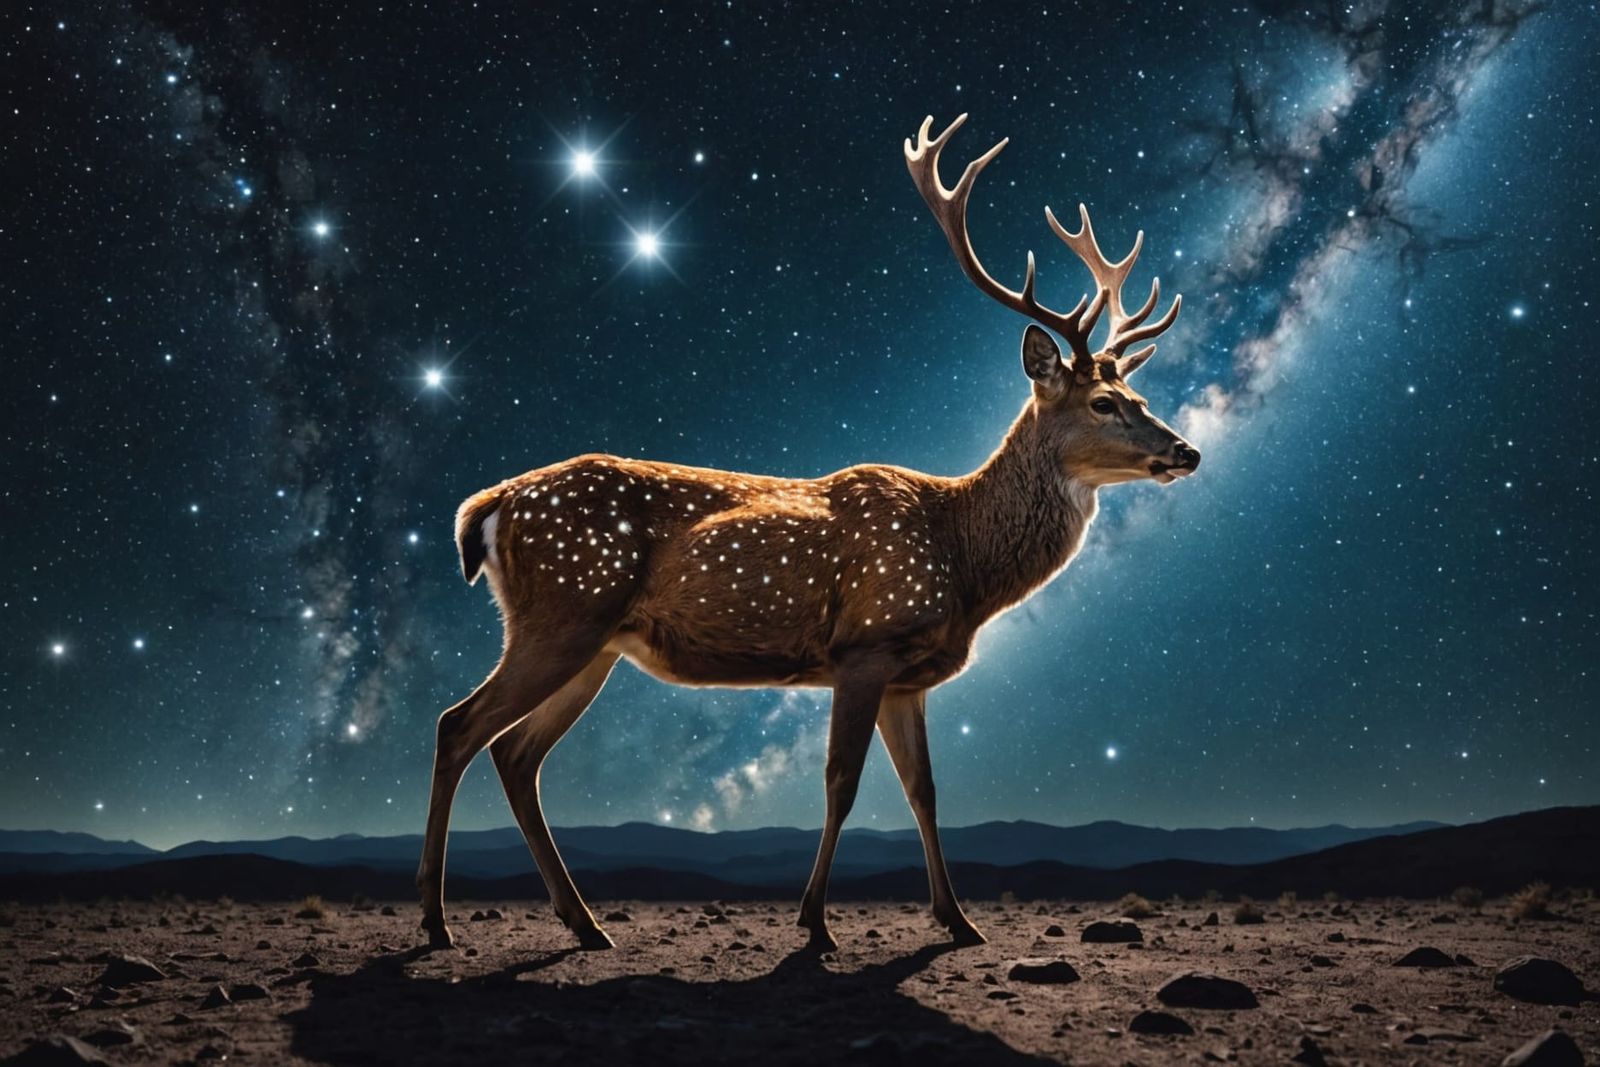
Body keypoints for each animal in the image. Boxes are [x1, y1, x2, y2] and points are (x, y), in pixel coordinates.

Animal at [417, 114, 1201, 953]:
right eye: (1102, 404)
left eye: (1141, 394)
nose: (1186, 450)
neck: (962, 560)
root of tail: (489, 504)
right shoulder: (865, 644)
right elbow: (841, 783)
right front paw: (816, 923)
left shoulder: (908, 677)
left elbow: (924, 790)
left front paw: (958, 920)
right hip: (562, 610)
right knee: (458, 726)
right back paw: (436, 919)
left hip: (596, 643)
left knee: (514, 752)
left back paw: (584, 922)